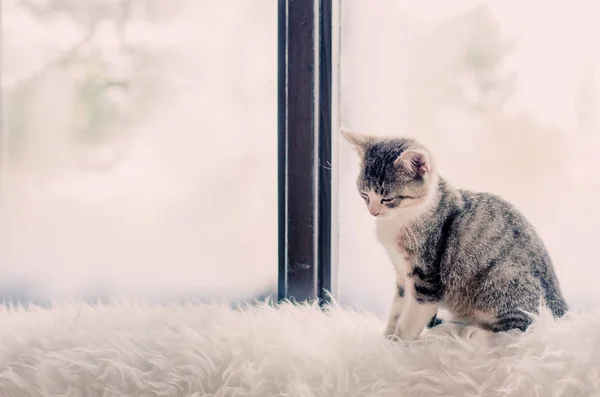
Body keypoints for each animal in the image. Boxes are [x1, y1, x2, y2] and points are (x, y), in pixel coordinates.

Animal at [342, 130, 568, 340]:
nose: (373, 211)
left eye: (387, 199)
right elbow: (397, 311)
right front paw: (386, 340)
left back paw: (466, 333)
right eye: (364, 194)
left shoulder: (427, 281)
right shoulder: (402, 276)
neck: (403, 218)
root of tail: (561, 309)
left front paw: (397, 346)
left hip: (504, 278)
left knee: (520, 329)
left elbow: (410, 321)